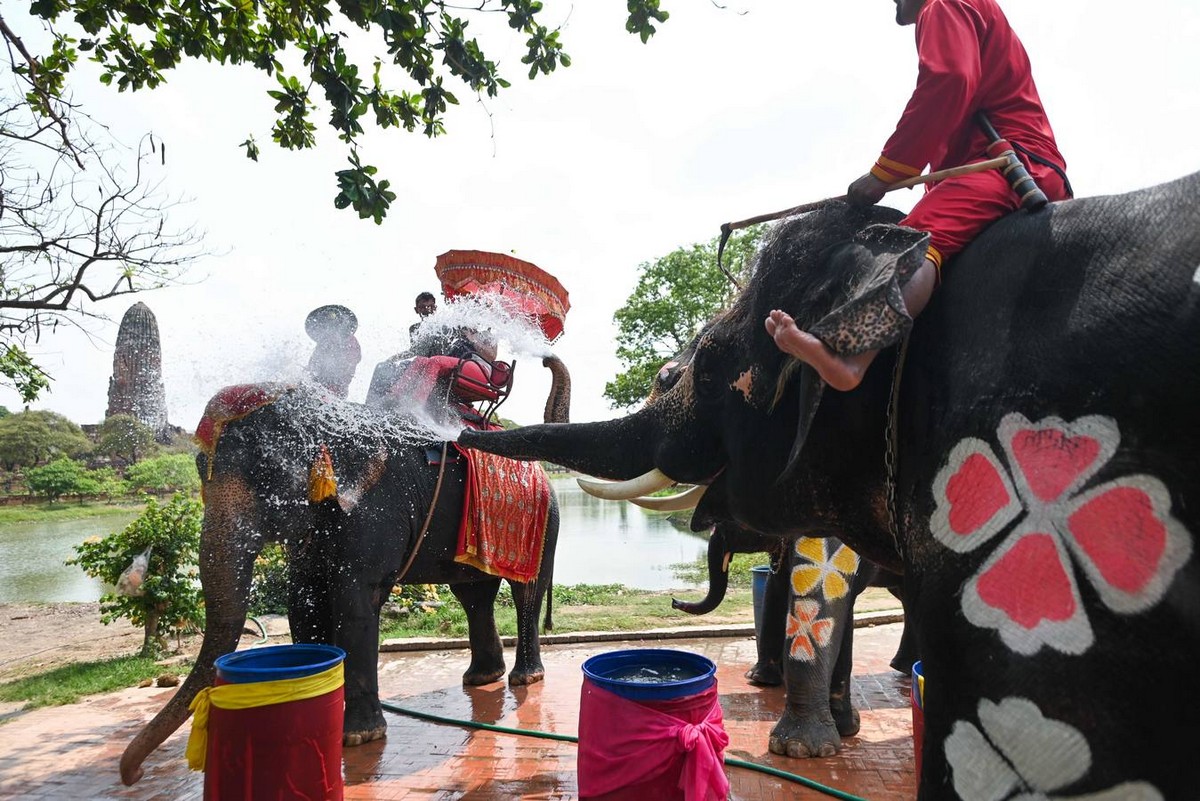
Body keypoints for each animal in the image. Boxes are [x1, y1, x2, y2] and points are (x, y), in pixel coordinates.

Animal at [119, 352, 568, 786]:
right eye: (200, 468)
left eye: (267, 472)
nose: (132, 774)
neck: (331, 414)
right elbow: (303, 602)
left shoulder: (374, 509)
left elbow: (356, 600)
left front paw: (358, 737)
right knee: (473, 594)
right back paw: (480, 678)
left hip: (543, 520)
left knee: (525, 590)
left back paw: (524, 679)